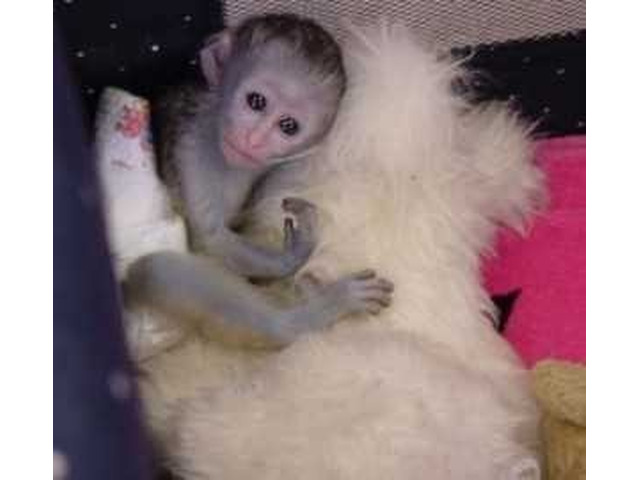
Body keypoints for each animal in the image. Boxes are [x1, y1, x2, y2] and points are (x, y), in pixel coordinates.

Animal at [124, 14, 394, 349]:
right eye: (256, 101)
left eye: (288, 126)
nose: (253, 140)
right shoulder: (193, 146)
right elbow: (211, 237)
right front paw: (290, 259)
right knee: (155, 271)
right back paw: (307, 314)